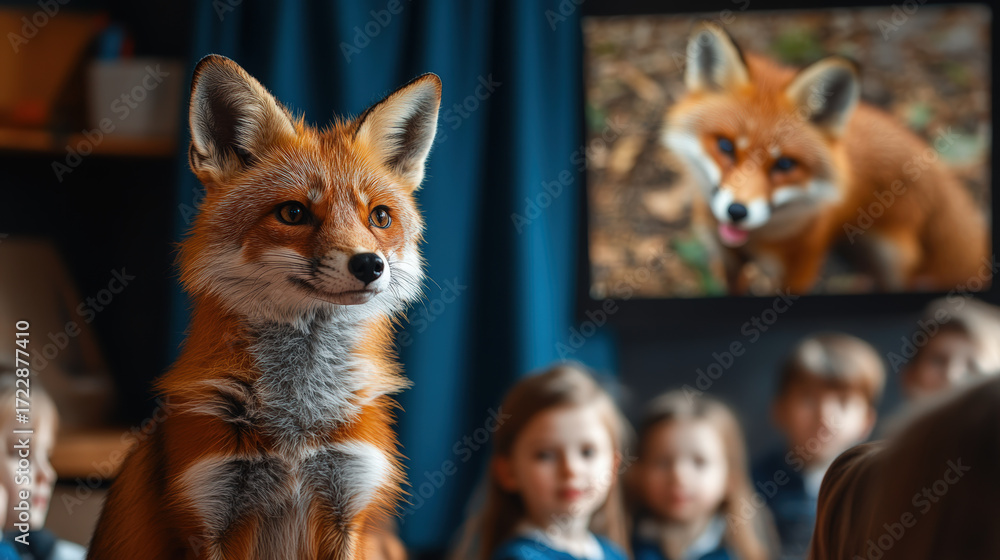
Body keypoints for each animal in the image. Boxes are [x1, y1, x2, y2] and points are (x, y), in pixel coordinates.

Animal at [87, 55, 440, 559]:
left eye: (380, 217)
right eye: (293, 213)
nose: (370, 265)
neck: (298, 423)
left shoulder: (349, 507)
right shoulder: (208, 511)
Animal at [663, 23, 988, 295]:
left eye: (784, 164)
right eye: (726, 146)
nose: (736, 212)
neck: (754, 241)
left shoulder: (798, 271)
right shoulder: (727, 260)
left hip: (893, 263)